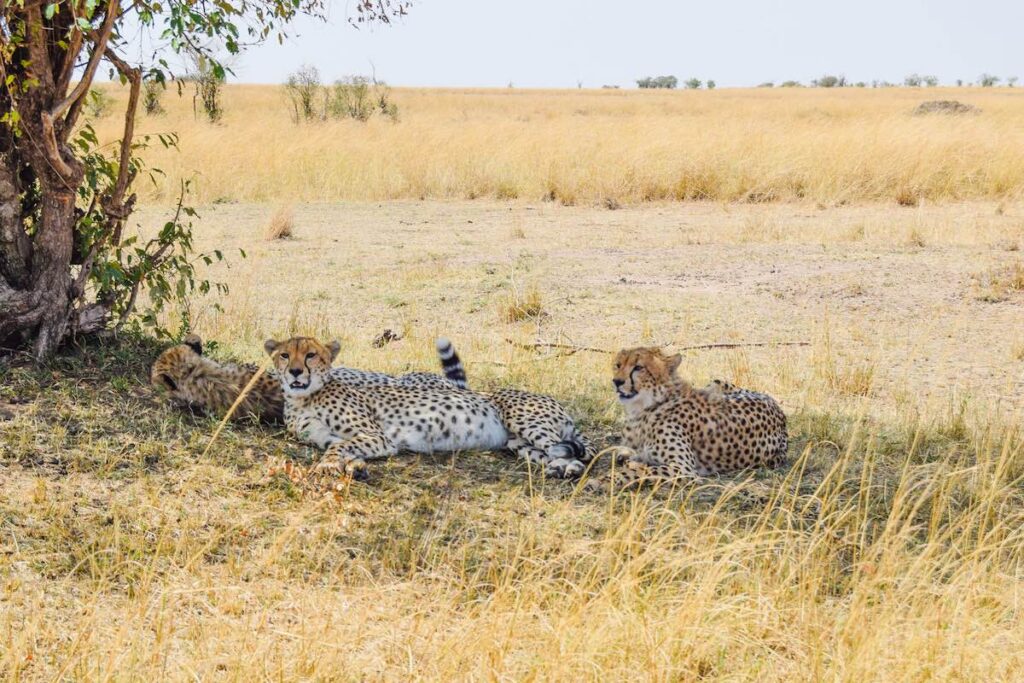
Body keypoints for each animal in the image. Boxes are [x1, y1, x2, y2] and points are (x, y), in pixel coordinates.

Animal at [593, 348, 782, 491]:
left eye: (638, 367)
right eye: (618, 365)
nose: (617, 381)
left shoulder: (683, 468)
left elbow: (640, 472)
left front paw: (603, 481)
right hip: (715, 382)